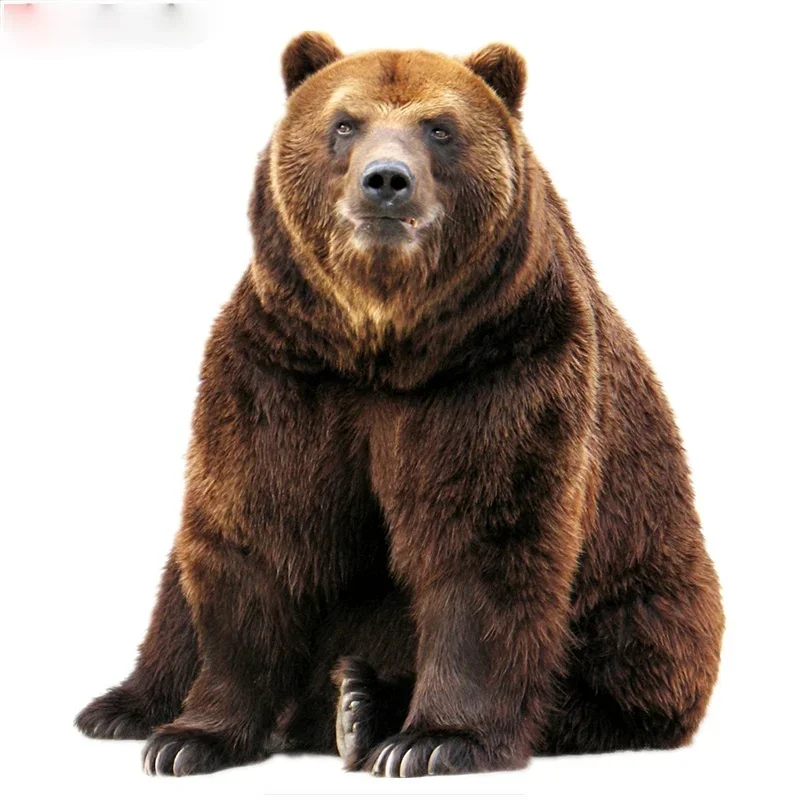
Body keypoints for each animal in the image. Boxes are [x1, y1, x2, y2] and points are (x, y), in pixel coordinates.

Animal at [76, 32, 725, 778]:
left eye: (439, 128)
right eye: (344, 123)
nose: (386, 180)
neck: (383, 344)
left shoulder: (499, 369)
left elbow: (483, 541)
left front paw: (435, 739)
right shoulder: (283, 370)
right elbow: (257, 530)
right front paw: (190, 738)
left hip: (647, 586)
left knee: (621, 660)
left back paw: (362, 704)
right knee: (177, 587)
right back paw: (125, 706)